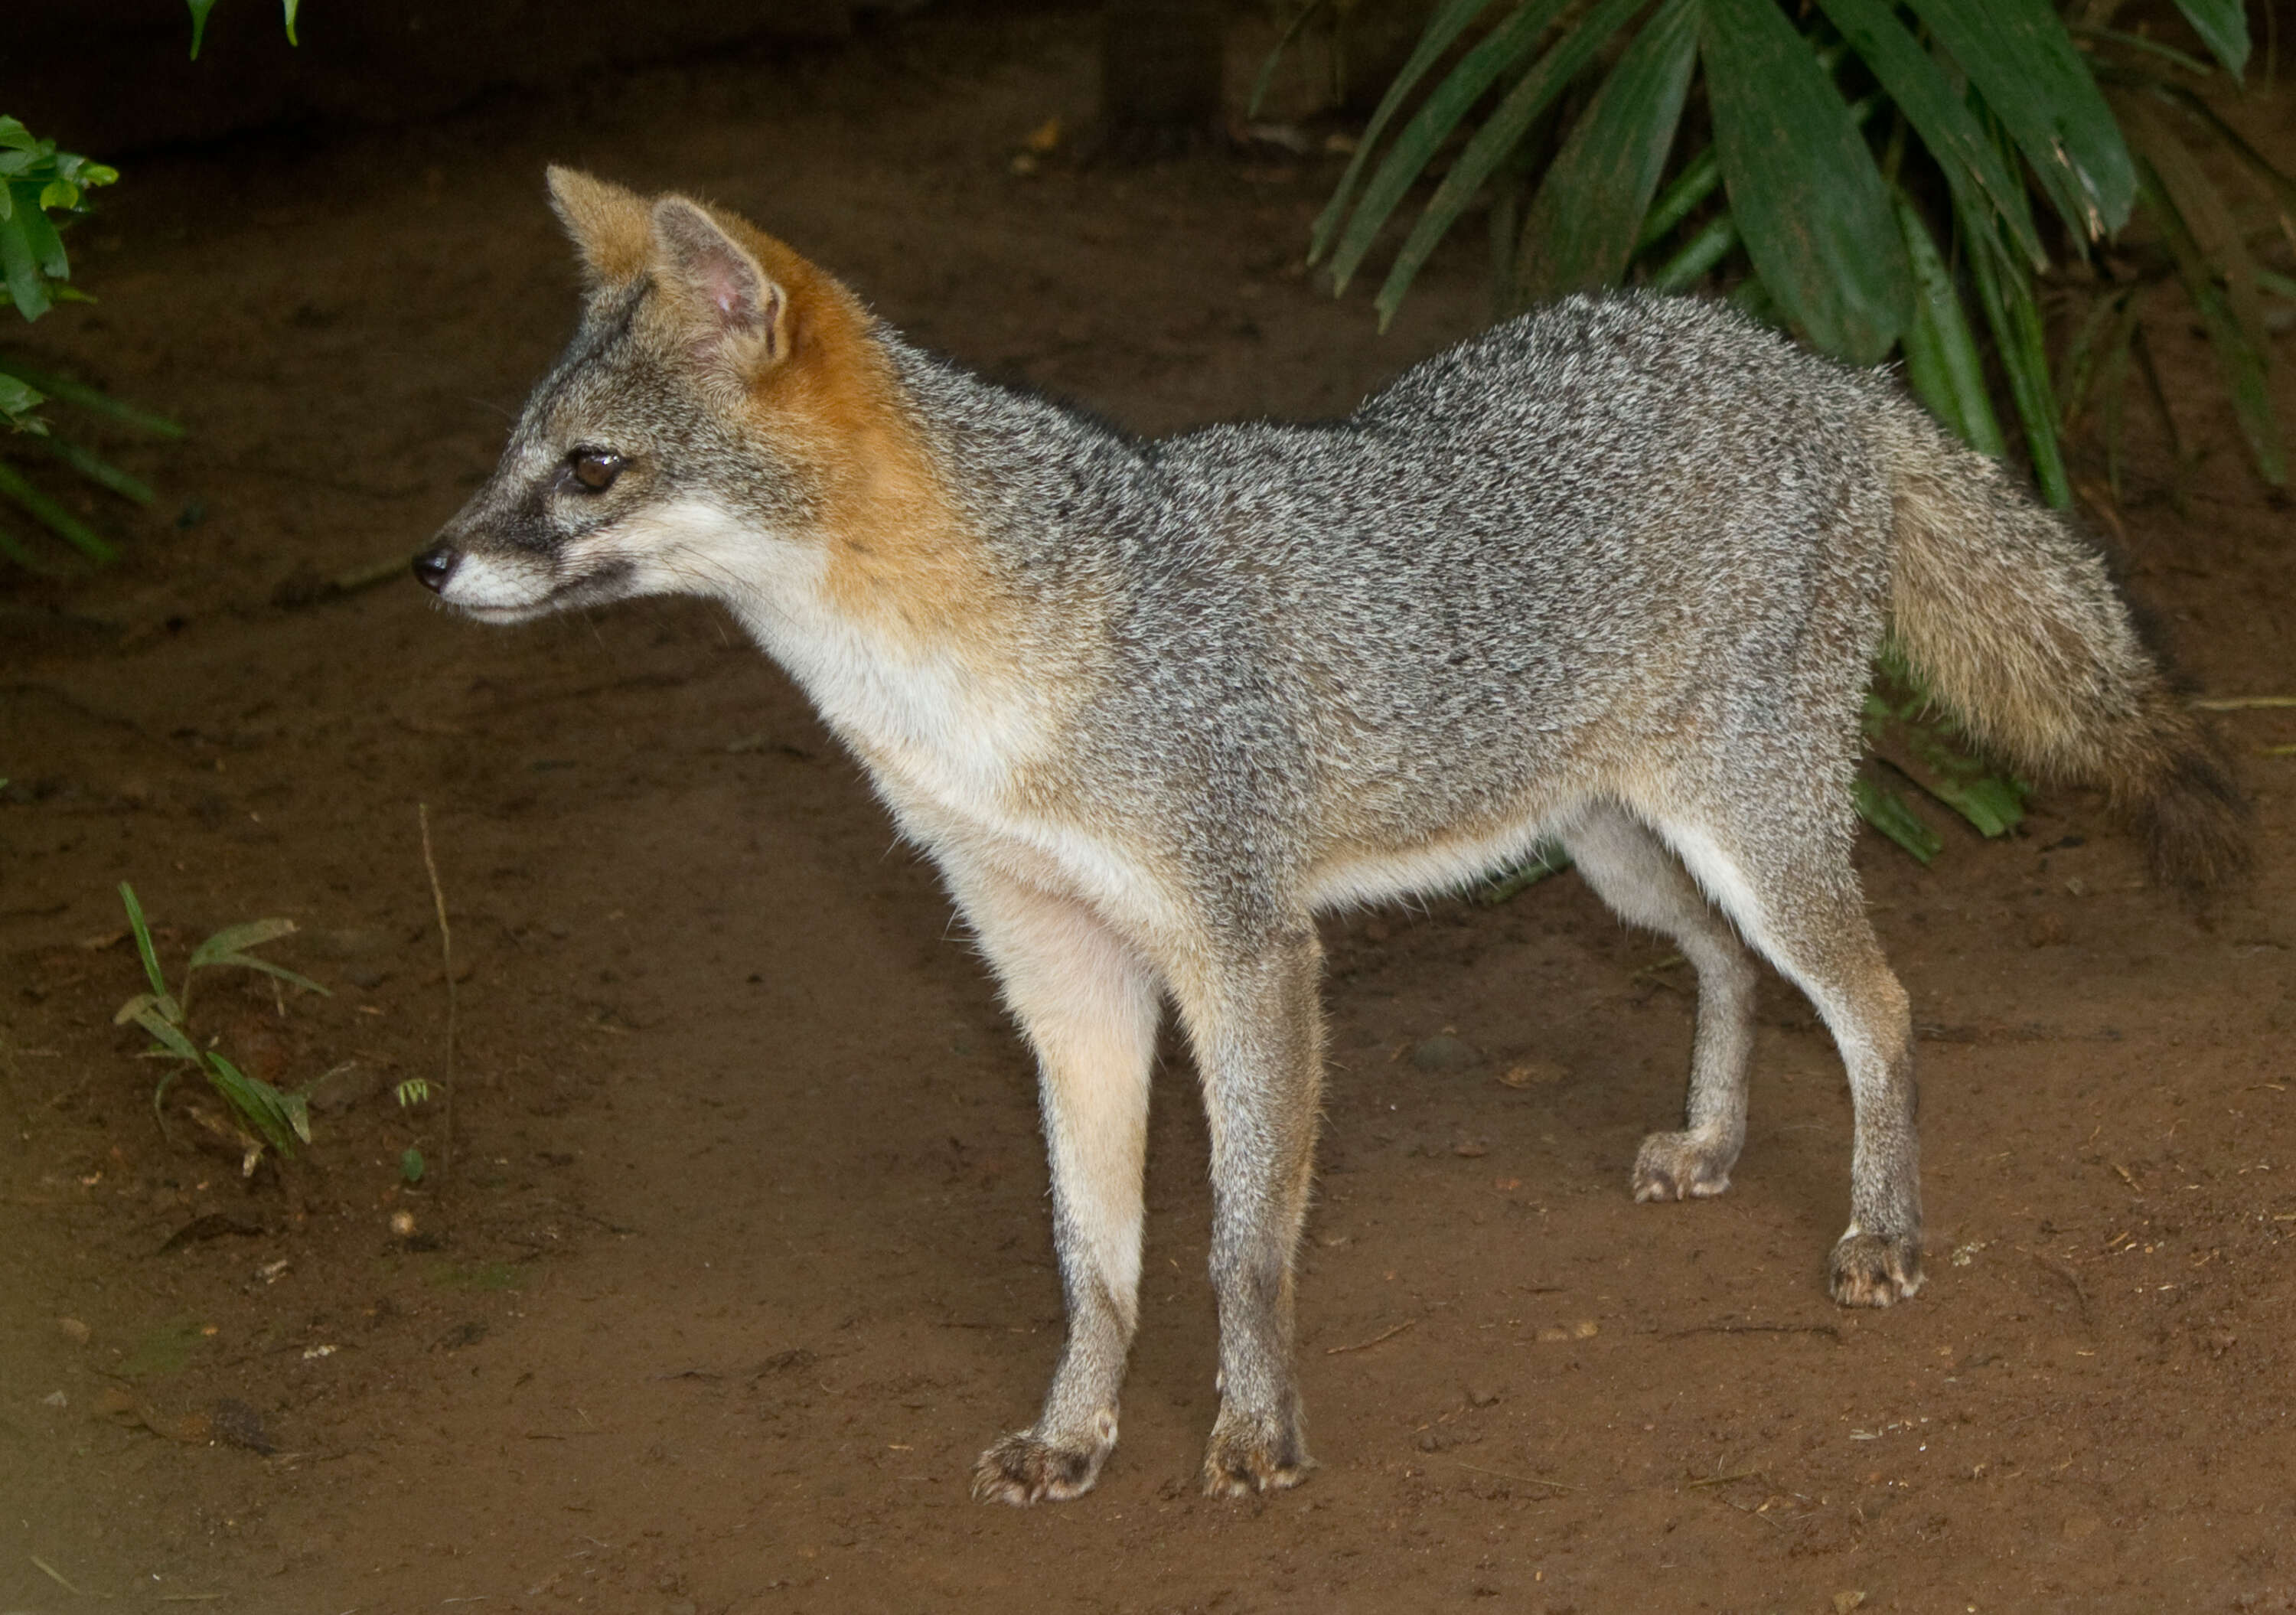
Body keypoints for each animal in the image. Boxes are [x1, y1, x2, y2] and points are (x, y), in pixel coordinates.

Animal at [409, 170, 2241, 1506]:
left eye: (591, 469)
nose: (426, 564)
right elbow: (1095, 1256)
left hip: (1749, 829)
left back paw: (1881, 1234)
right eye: (508, 456)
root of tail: (1815, 364)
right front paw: (1074, 1434)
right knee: (1734, 970)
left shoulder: (1244, 948)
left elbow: (1238, 1245)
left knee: (1880, 1005)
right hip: (1621, 851)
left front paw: (1252, 1436)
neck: (959, 687)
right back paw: (1715, 1144)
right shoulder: (1058, 971)